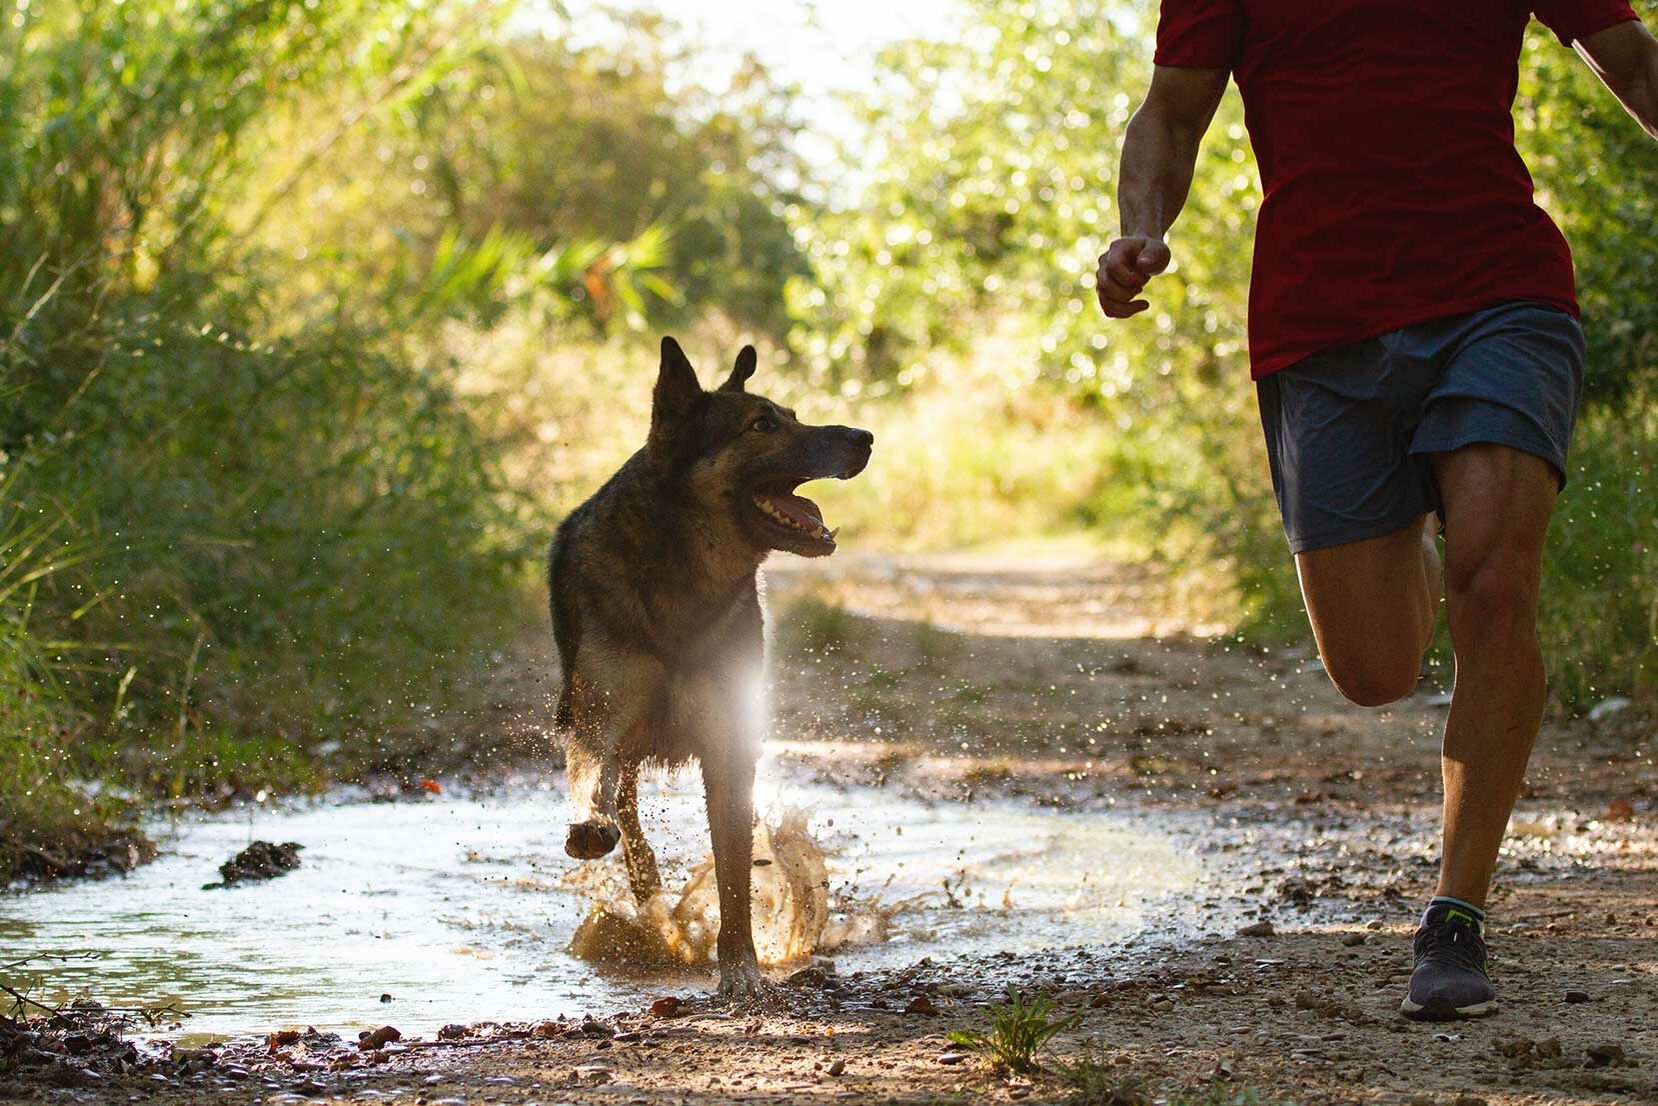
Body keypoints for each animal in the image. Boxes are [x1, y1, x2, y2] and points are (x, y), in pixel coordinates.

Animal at [550, 338, 875, 1001]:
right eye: (761, 426)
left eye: (793, 415)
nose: (866, 437)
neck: (686, 580)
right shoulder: (599, 720)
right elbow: (592, 780)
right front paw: (590, 825)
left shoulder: (729, 743)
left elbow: (733, 871)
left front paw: (742, 969)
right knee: (628, 812)